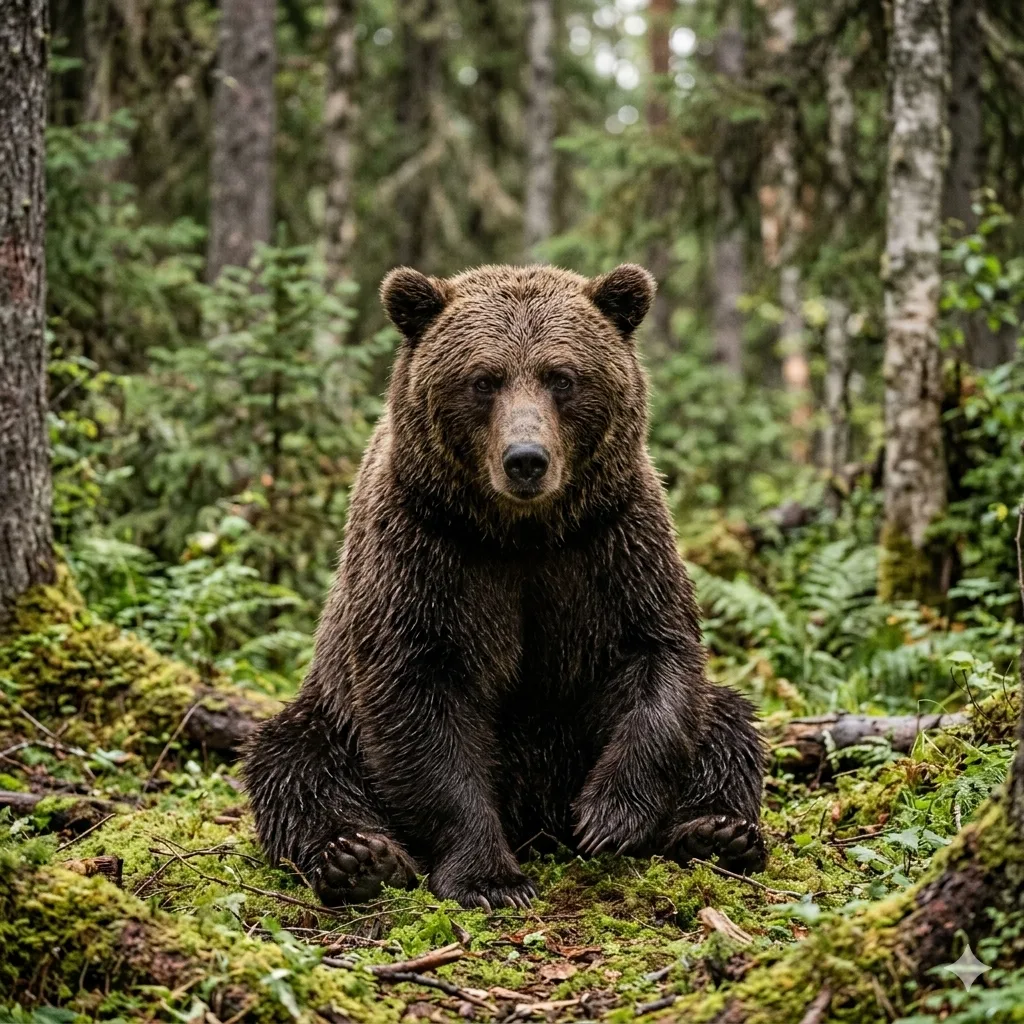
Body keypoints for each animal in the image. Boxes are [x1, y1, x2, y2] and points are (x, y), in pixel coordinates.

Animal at [244, 263, 766, 910]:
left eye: (561, 377)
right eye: (484, 380)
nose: (526, 459)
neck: (520, 534)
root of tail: (535, 823)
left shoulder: (612, 541)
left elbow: (656, 655)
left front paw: (608, 816)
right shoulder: (427, 552)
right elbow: (419, 699)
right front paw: (491, 879)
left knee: (727, 727)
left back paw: (716, 833)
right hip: (333, 717)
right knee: (294, 763)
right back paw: (359, 857)